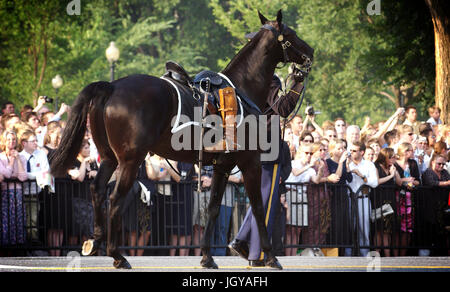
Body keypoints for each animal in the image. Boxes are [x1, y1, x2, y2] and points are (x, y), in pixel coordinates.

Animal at [50, 10, 312, 270]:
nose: (310, 53)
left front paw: (207, 256)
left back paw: (95, 241)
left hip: (109, 158)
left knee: (96, 190)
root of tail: (112, 87)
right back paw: (117, 255)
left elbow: (213, 208)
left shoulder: (223, 166)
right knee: (114, 199)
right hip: (131, 161)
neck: (241, 90)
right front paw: (271, 256)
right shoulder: (250, 162)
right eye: (290, 34)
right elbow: (258, 207)